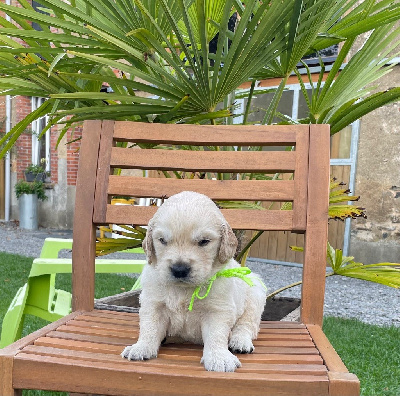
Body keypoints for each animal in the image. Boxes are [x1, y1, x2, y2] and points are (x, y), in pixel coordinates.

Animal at [120, 192, 268, 372]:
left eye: (204, 241)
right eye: (162, 240)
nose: (179, 269)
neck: (184, 289)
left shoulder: (218, 309)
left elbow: (217, 334)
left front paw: (219, 357)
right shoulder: (153, 303)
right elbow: (149, 327)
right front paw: (141, 347)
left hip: (255, 294)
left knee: (246, 325)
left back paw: (240, 341)